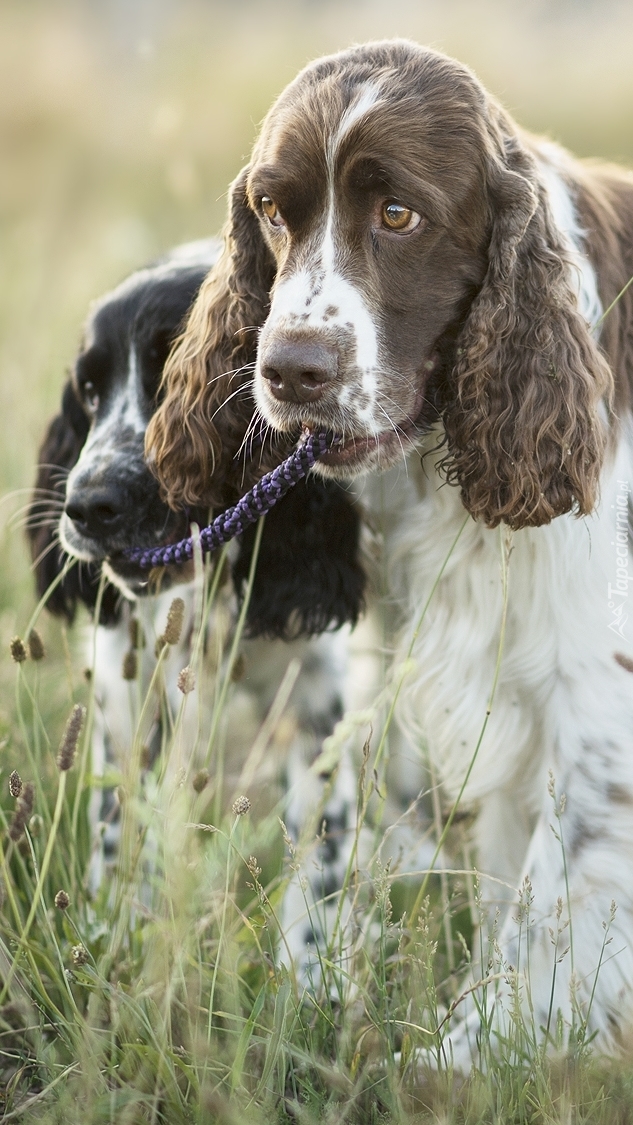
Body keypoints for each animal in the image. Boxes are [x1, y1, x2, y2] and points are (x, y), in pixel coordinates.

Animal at [146, 43, 633, 1062]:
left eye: (398, 214)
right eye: (271, 210)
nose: (288, 369)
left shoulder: (593, 700)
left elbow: (542, 908)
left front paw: (462, 1057)